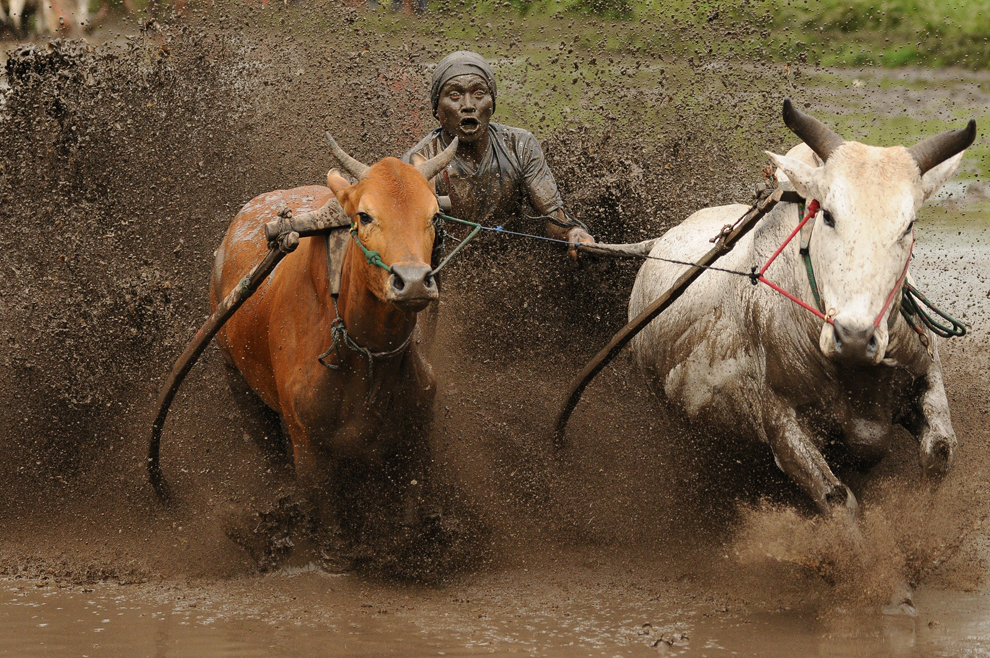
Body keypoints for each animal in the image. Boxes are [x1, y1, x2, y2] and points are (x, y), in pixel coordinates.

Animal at [211, 136, 460, 560]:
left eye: (434, 217)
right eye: (365, 216)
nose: (412, 281)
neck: (366, 358)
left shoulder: (415, 438)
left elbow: (408, 518)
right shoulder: (307, 444)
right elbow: (330, 528)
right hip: (237, 380)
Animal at [632, 98, 972, 516]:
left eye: (908, 225)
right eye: (828, 214)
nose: (854, 338)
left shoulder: (926, 372)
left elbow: (939, 452)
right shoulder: (781, 421)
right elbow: (836, 497)